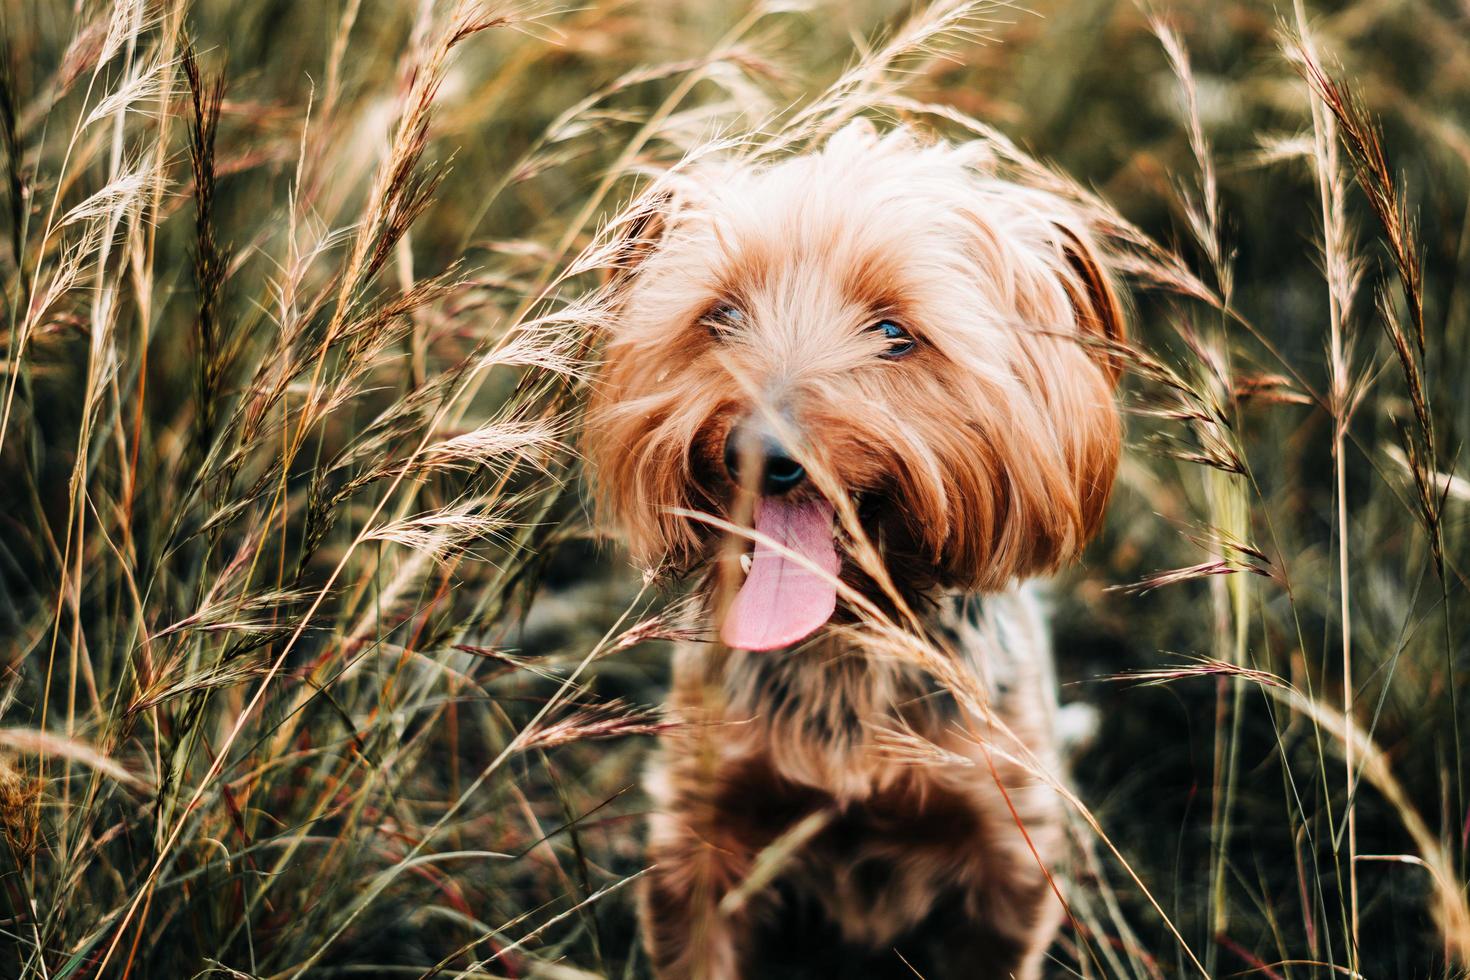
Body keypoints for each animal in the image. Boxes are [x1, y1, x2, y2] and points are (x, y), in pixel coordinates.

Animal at [582, 119, 1123, 975]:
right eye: (722, 316)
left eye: (894, 333)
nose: (757, 453)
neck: (845, 639)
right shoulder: (701, 836)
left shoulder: (1004, 852)